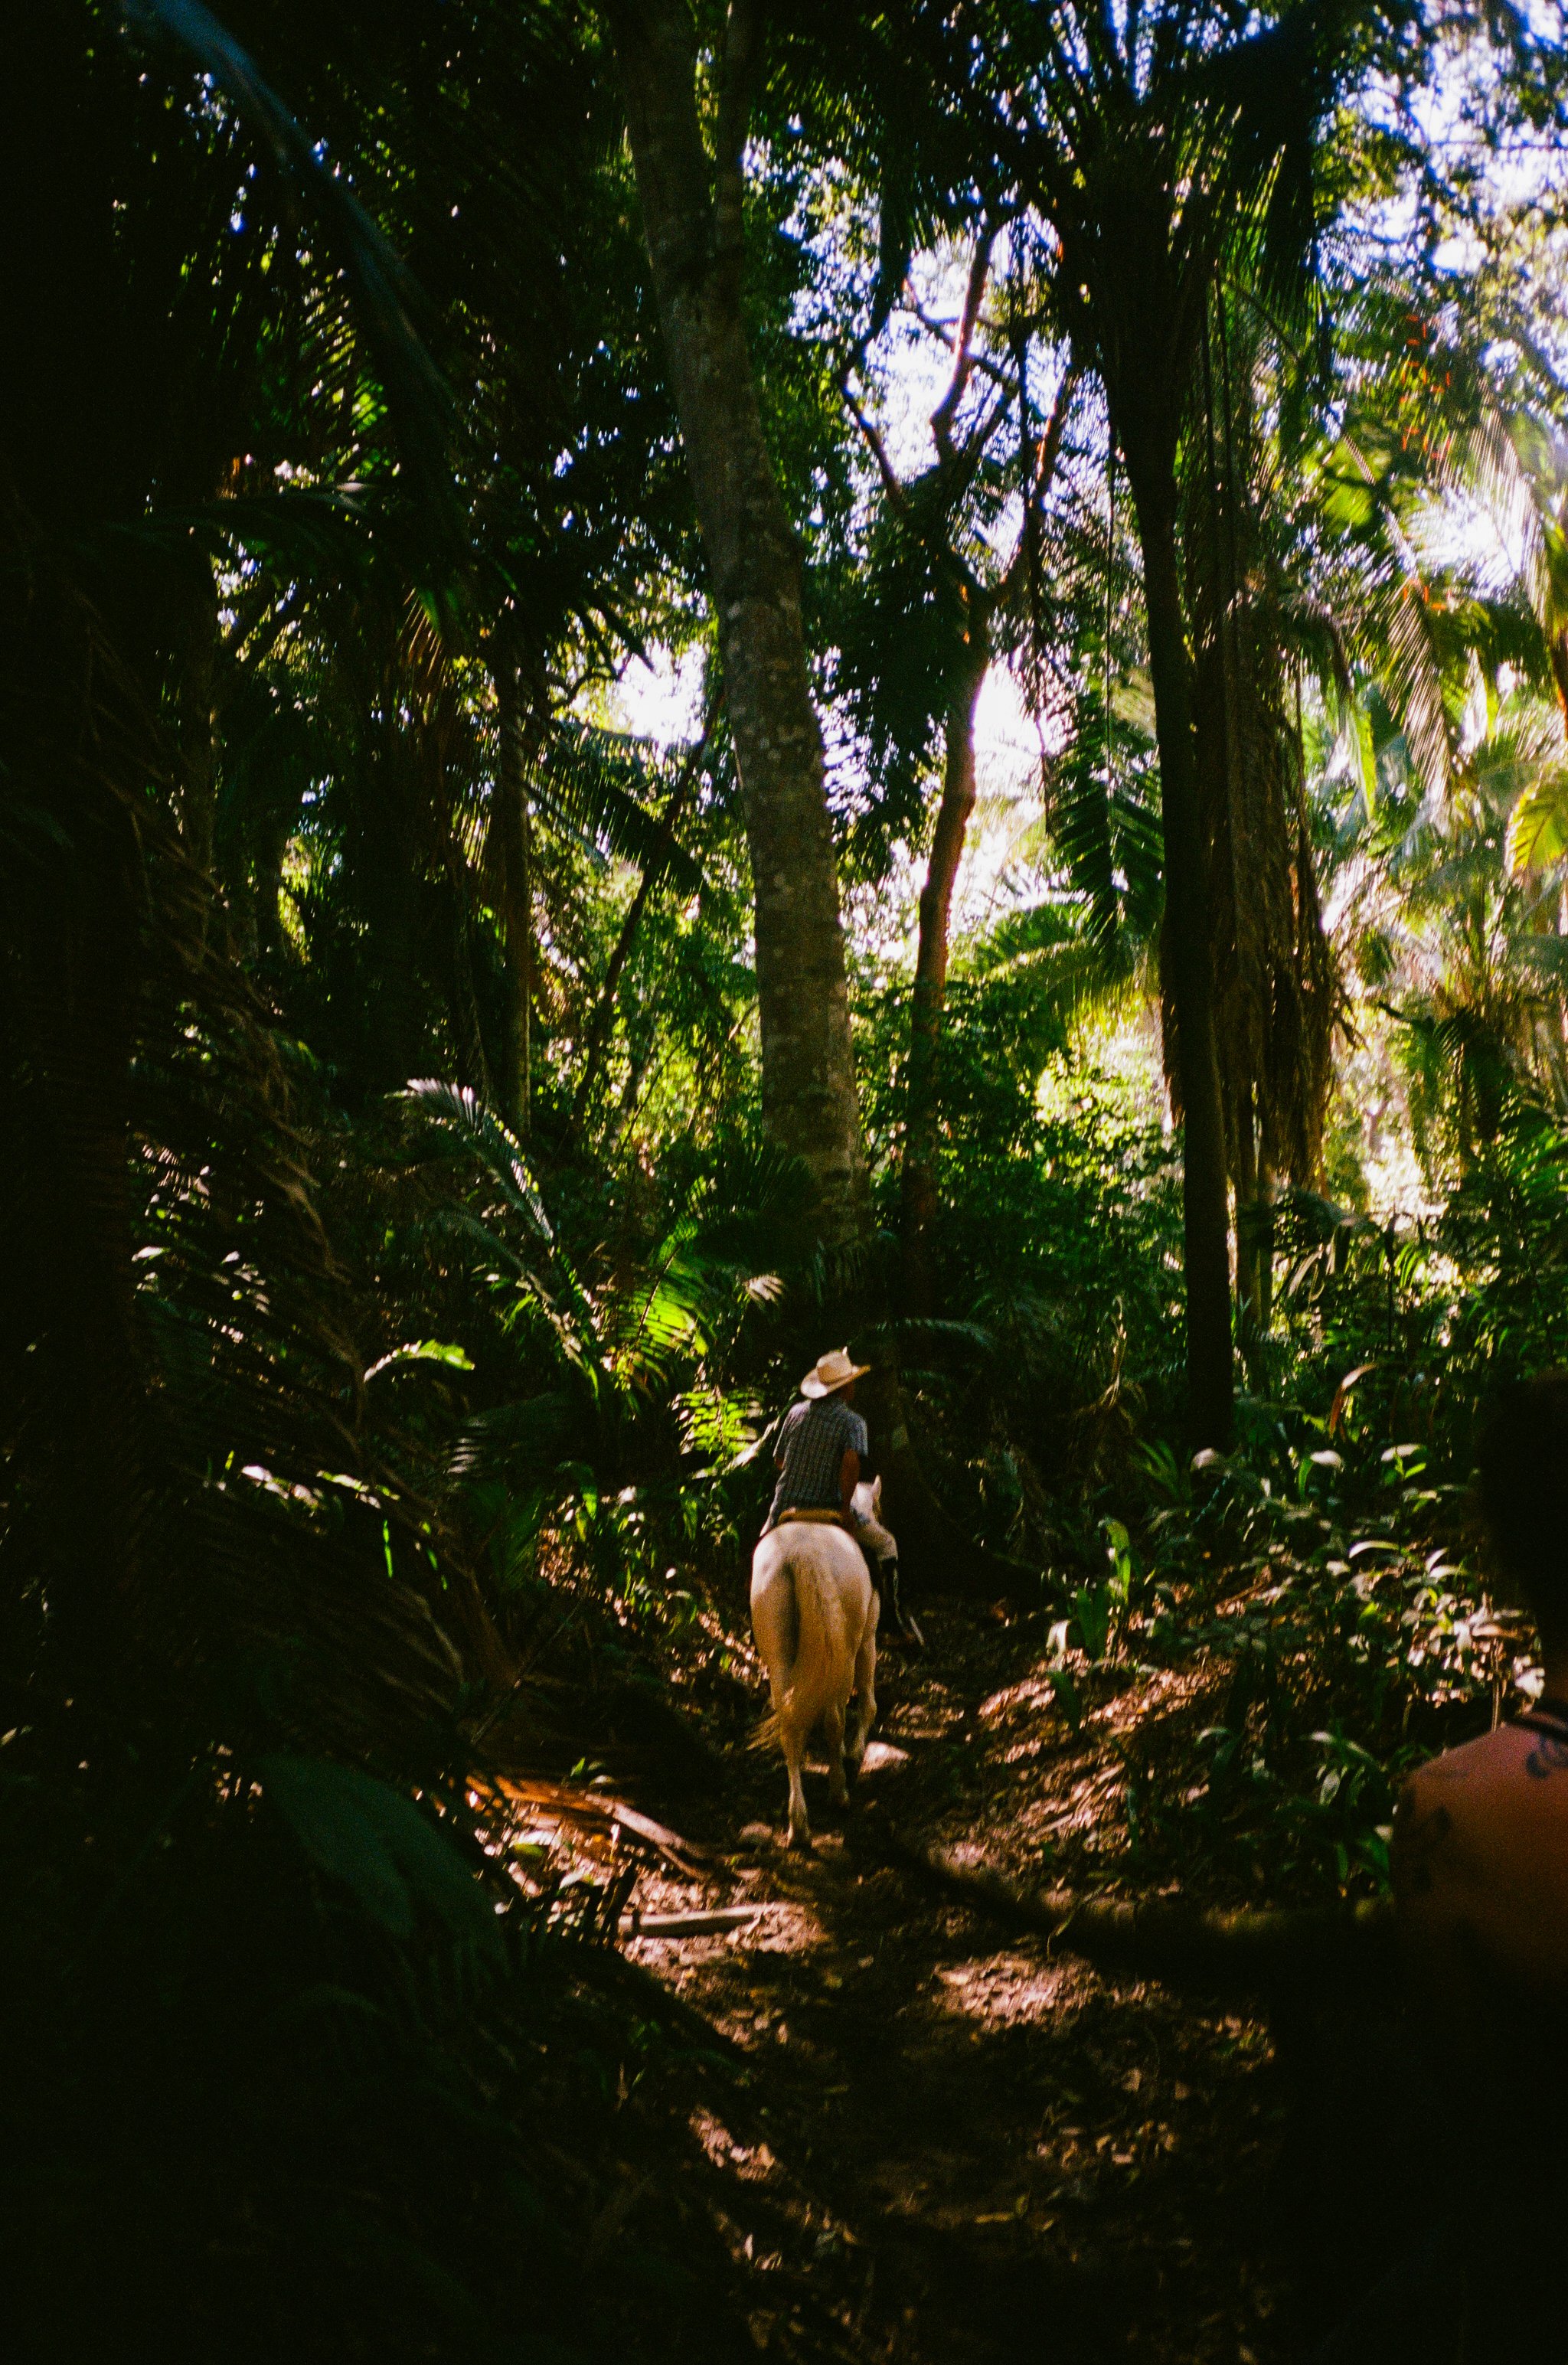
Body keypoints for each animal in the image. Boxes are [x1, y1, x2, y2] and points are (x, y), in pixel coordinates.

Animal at [752, 1475, 893, 1844]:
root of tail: (803, 1553)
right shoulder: (867, 1637)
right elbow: (868, 1700)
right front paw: (854, 1753)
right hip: (845, 1649)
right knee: (834, 1717)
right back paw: (838, 1794)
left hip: (779, 1655)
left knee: (790, 1725)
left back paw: (798, 1825)